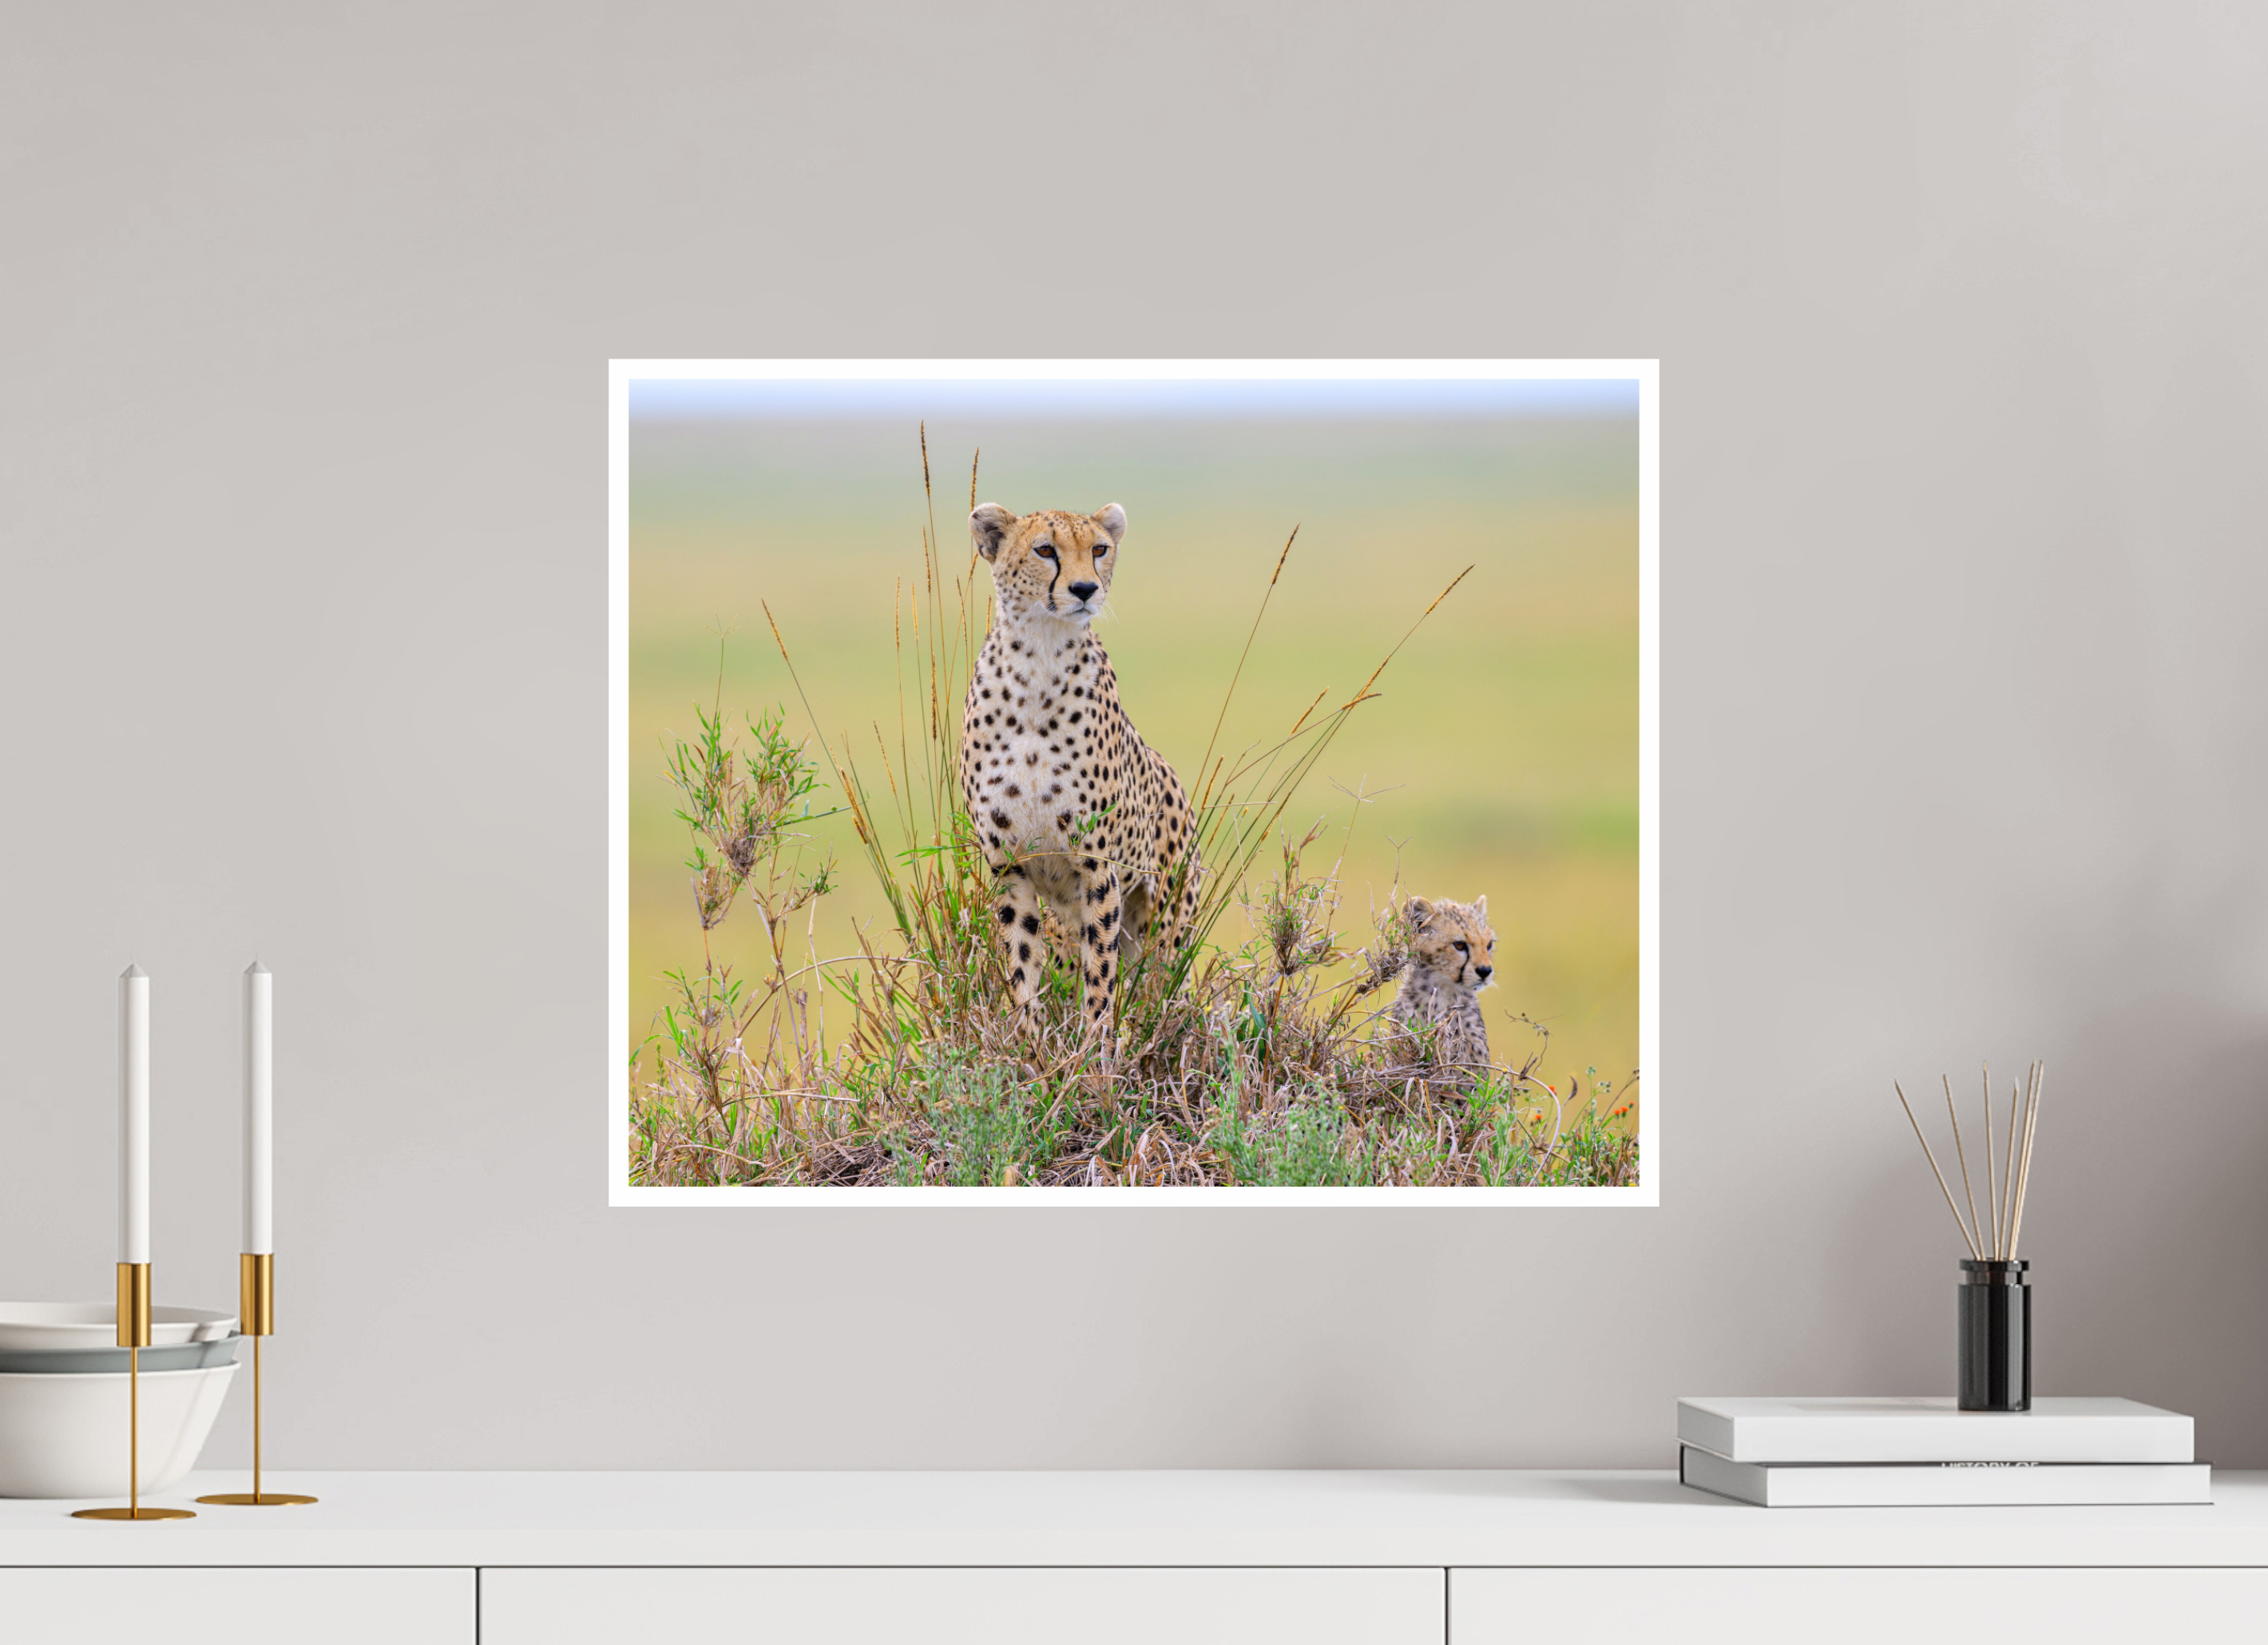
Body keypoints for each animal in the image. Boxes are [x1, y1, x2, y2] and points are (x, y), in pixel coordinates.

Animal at [960, 500, 1202, 1036]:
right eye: (1045, 550)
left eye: (1099, 550)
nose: (1085, 589)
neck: (1039, 659)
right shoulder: (1011, 868)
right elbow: (1022, 965)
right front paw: (1029, 1042)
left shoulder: (1098, 869)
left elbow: (1101, 972)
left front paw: (1096, 1045)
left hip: (1166, 921)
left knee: (1159, 986)